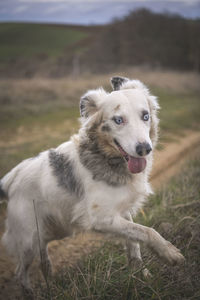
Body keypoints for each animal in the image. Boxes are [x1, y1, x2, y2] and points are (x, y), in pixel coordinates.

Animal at [0, 76, 184, 292]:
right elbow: (147, 231)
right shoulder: (101, 218)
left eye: (145, 116)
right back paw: (30, 292)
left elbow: (134, 241)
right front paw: (169, 253)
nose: (144, 149)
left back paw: (51, 286)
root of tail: (10, 179)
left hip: (47, 233)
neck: (105, 158)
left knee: (44, 262)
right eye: (118, 120)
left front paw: (140, 274)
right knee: (20, 272)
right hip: (29, 240)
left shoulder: (121, 211)